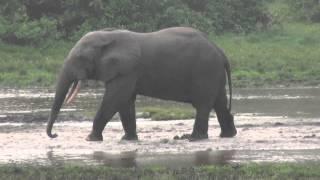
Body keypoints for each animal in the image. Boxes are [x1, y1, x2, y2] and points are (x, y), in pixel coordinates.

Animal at [47, 27, 238, 142]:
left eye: (80, 58)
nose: (55, 135)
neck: (108, 36)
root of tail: (221, 51)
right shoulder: (126, 72)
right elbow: (125, 103)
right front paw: (128, 140)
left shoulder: (127, 70)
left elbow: (114, 99)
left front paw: (90, 139)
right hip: (213, 73)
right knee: (219, 103)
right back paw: (227, 135)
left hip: (205, 71)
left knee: (203, 105)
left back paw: (194, 138)